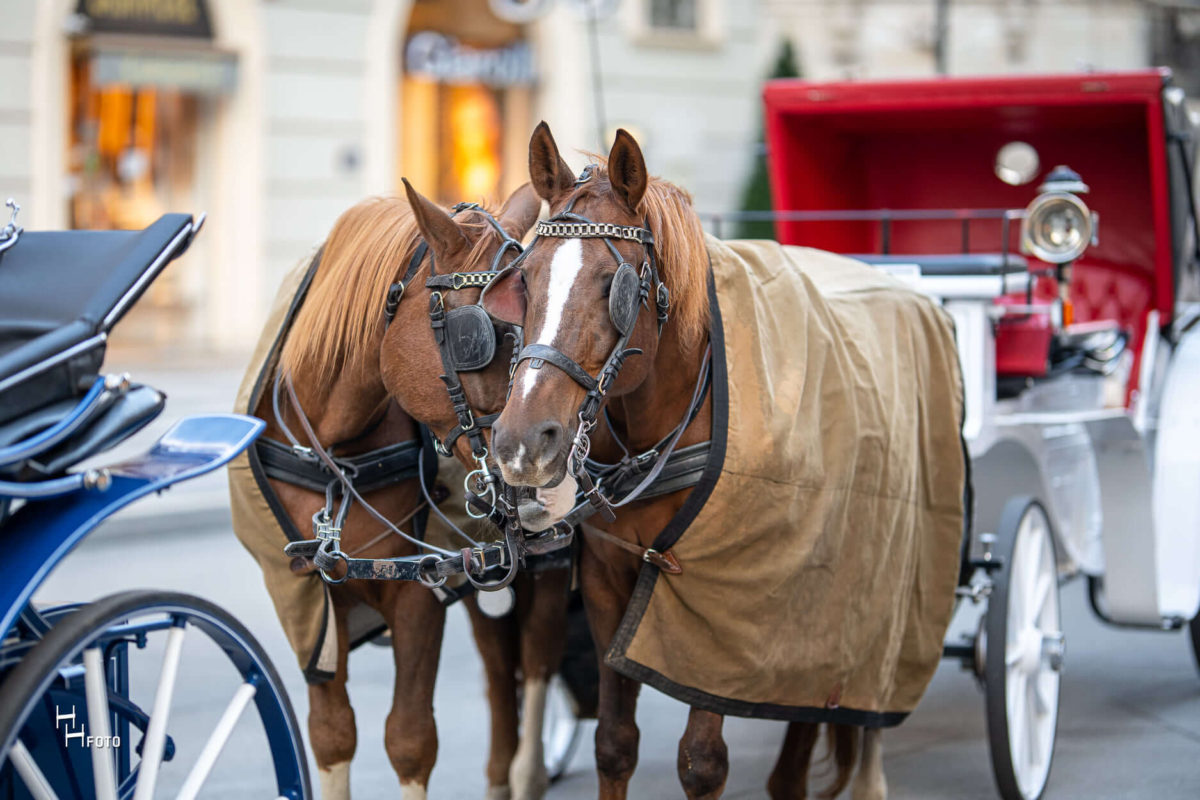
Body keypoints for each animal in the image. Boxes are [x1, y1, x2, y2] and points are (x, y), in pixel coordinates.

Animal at [254, 184, 571, 800]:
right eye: (479, 339)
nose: (545, 475)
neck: (336, 461)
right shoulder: (304, 600)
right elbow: (332, 733)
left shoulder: (421, 587)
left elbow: (409, 738)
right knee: (500, 676)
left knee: (540, 664)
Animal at [482, 122, 888, 796]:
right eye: (527, 279)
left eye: (612, 285)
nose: (520, 442)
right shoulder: (607, 585)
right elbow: (614, 742)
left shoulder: (726, 596)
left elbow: (701, 761)